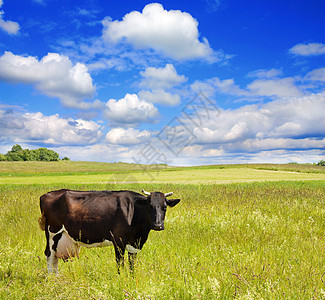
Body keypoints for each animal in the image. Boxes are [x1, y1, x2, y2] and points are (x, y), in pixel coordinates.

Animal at [39, 189, 180, 274]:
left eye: (164, 207)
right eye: (150, 206)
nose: (158, 225)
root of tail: (47, 194)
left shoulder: (134, 243)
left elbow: (132, 264)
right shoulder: (118, 241)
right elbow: (119, 263)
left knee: (55, 259)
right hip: (52, 233)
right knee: (49, 256)